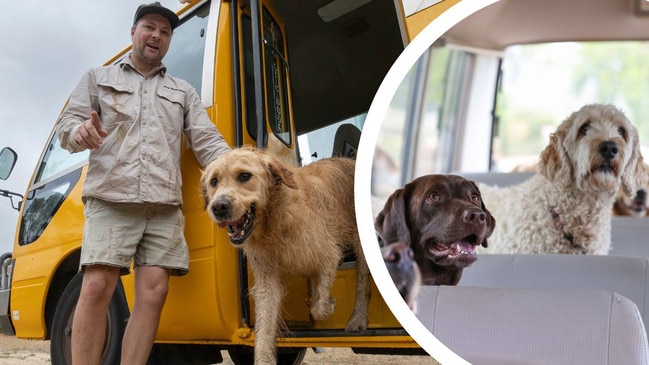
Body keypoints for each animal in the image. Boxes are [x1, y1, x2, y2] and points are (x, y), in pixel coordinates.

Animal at [200, 146, 368, 362]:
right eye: (214, 181)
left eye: (244, 176)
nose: (219, 207)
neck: (275, 222)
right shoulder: (267, 279)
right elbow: (265, 327)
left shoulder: (328, 255)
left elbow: (319, 308)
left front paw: (329, 304)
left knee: (363, 282)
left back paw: (358, 319)